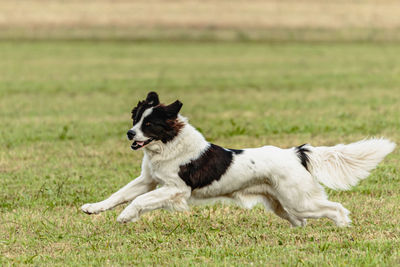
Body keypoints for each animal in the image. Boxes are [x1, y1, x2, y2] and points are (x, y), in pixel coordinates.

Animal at [80, 92, 394, 228]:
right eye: (135, 119)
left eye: (150, 124)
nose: (129, 133)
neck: (169, 144)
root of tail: (295, 152)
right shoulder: (148, 180)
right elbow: (119, 195)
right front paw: (93, 208)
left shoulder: (176, 189)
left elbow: (139, 201)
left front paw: (125, 216)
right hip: (283, 205)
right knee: (301, 220)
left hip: (300, 200)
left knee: (335, 207)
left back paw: (343, 225)